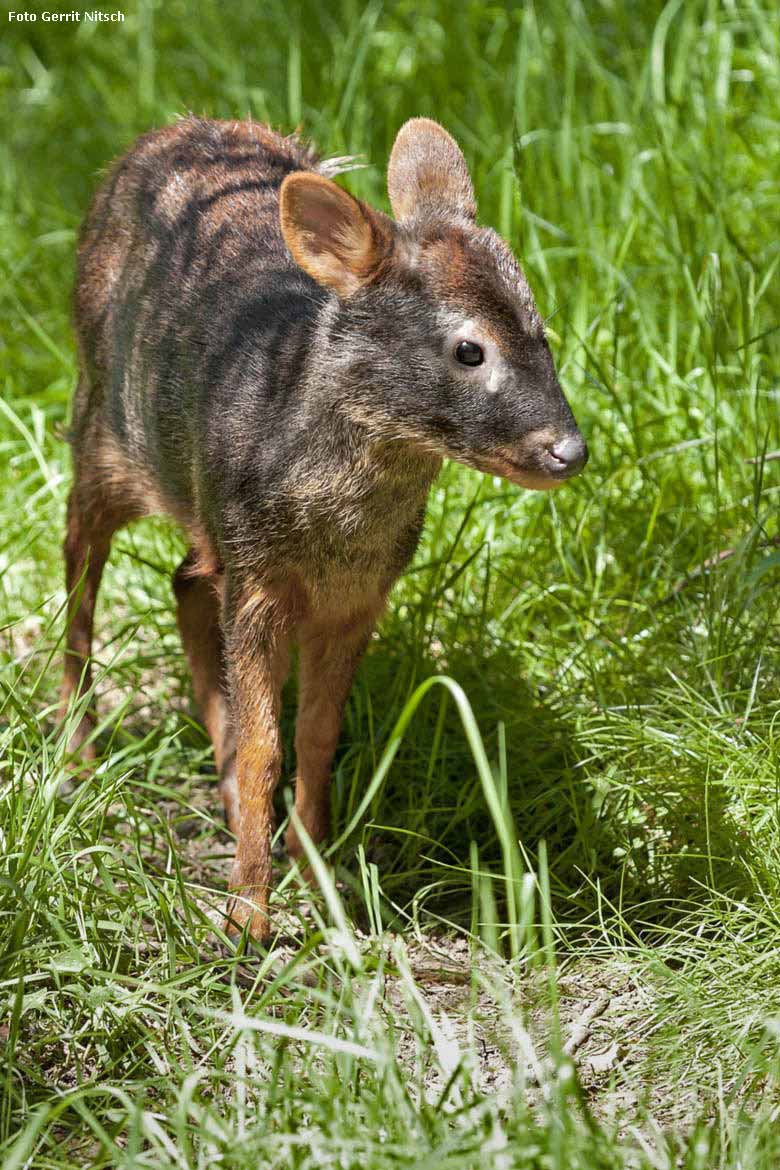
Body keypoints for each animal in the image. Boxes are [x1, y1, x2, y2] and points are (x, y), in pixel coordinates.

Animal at [59, 116, 584, 940]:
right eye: (469, 348)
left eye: (543, 333)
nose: (568, 450)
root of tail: (163, 133)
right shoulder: (259, 582)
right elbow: (265, 749)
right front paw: (247, 916)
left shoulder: (355, 597)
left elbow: (315, 738)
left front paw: (322, 884)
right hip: (101, 430)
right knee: (80, 568)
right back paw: (77, 759)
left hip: (204, 518)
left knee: (183, 580)